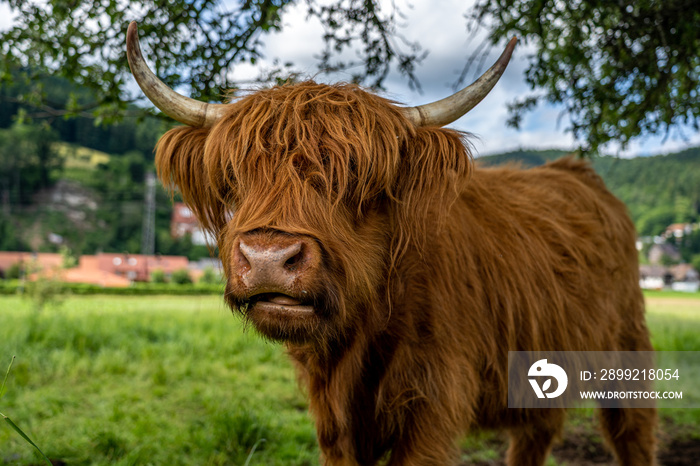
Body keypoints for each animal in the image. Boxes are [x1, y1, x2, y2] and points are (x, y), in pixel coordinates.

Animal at [126, 20, 656, 464]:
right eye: (236, 176)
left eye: (357, 181)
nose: (269, 259)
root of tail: (579, 173)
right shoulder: (333, 422)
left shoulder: (434, 403)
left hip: (627, 348)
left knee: (632, 429)